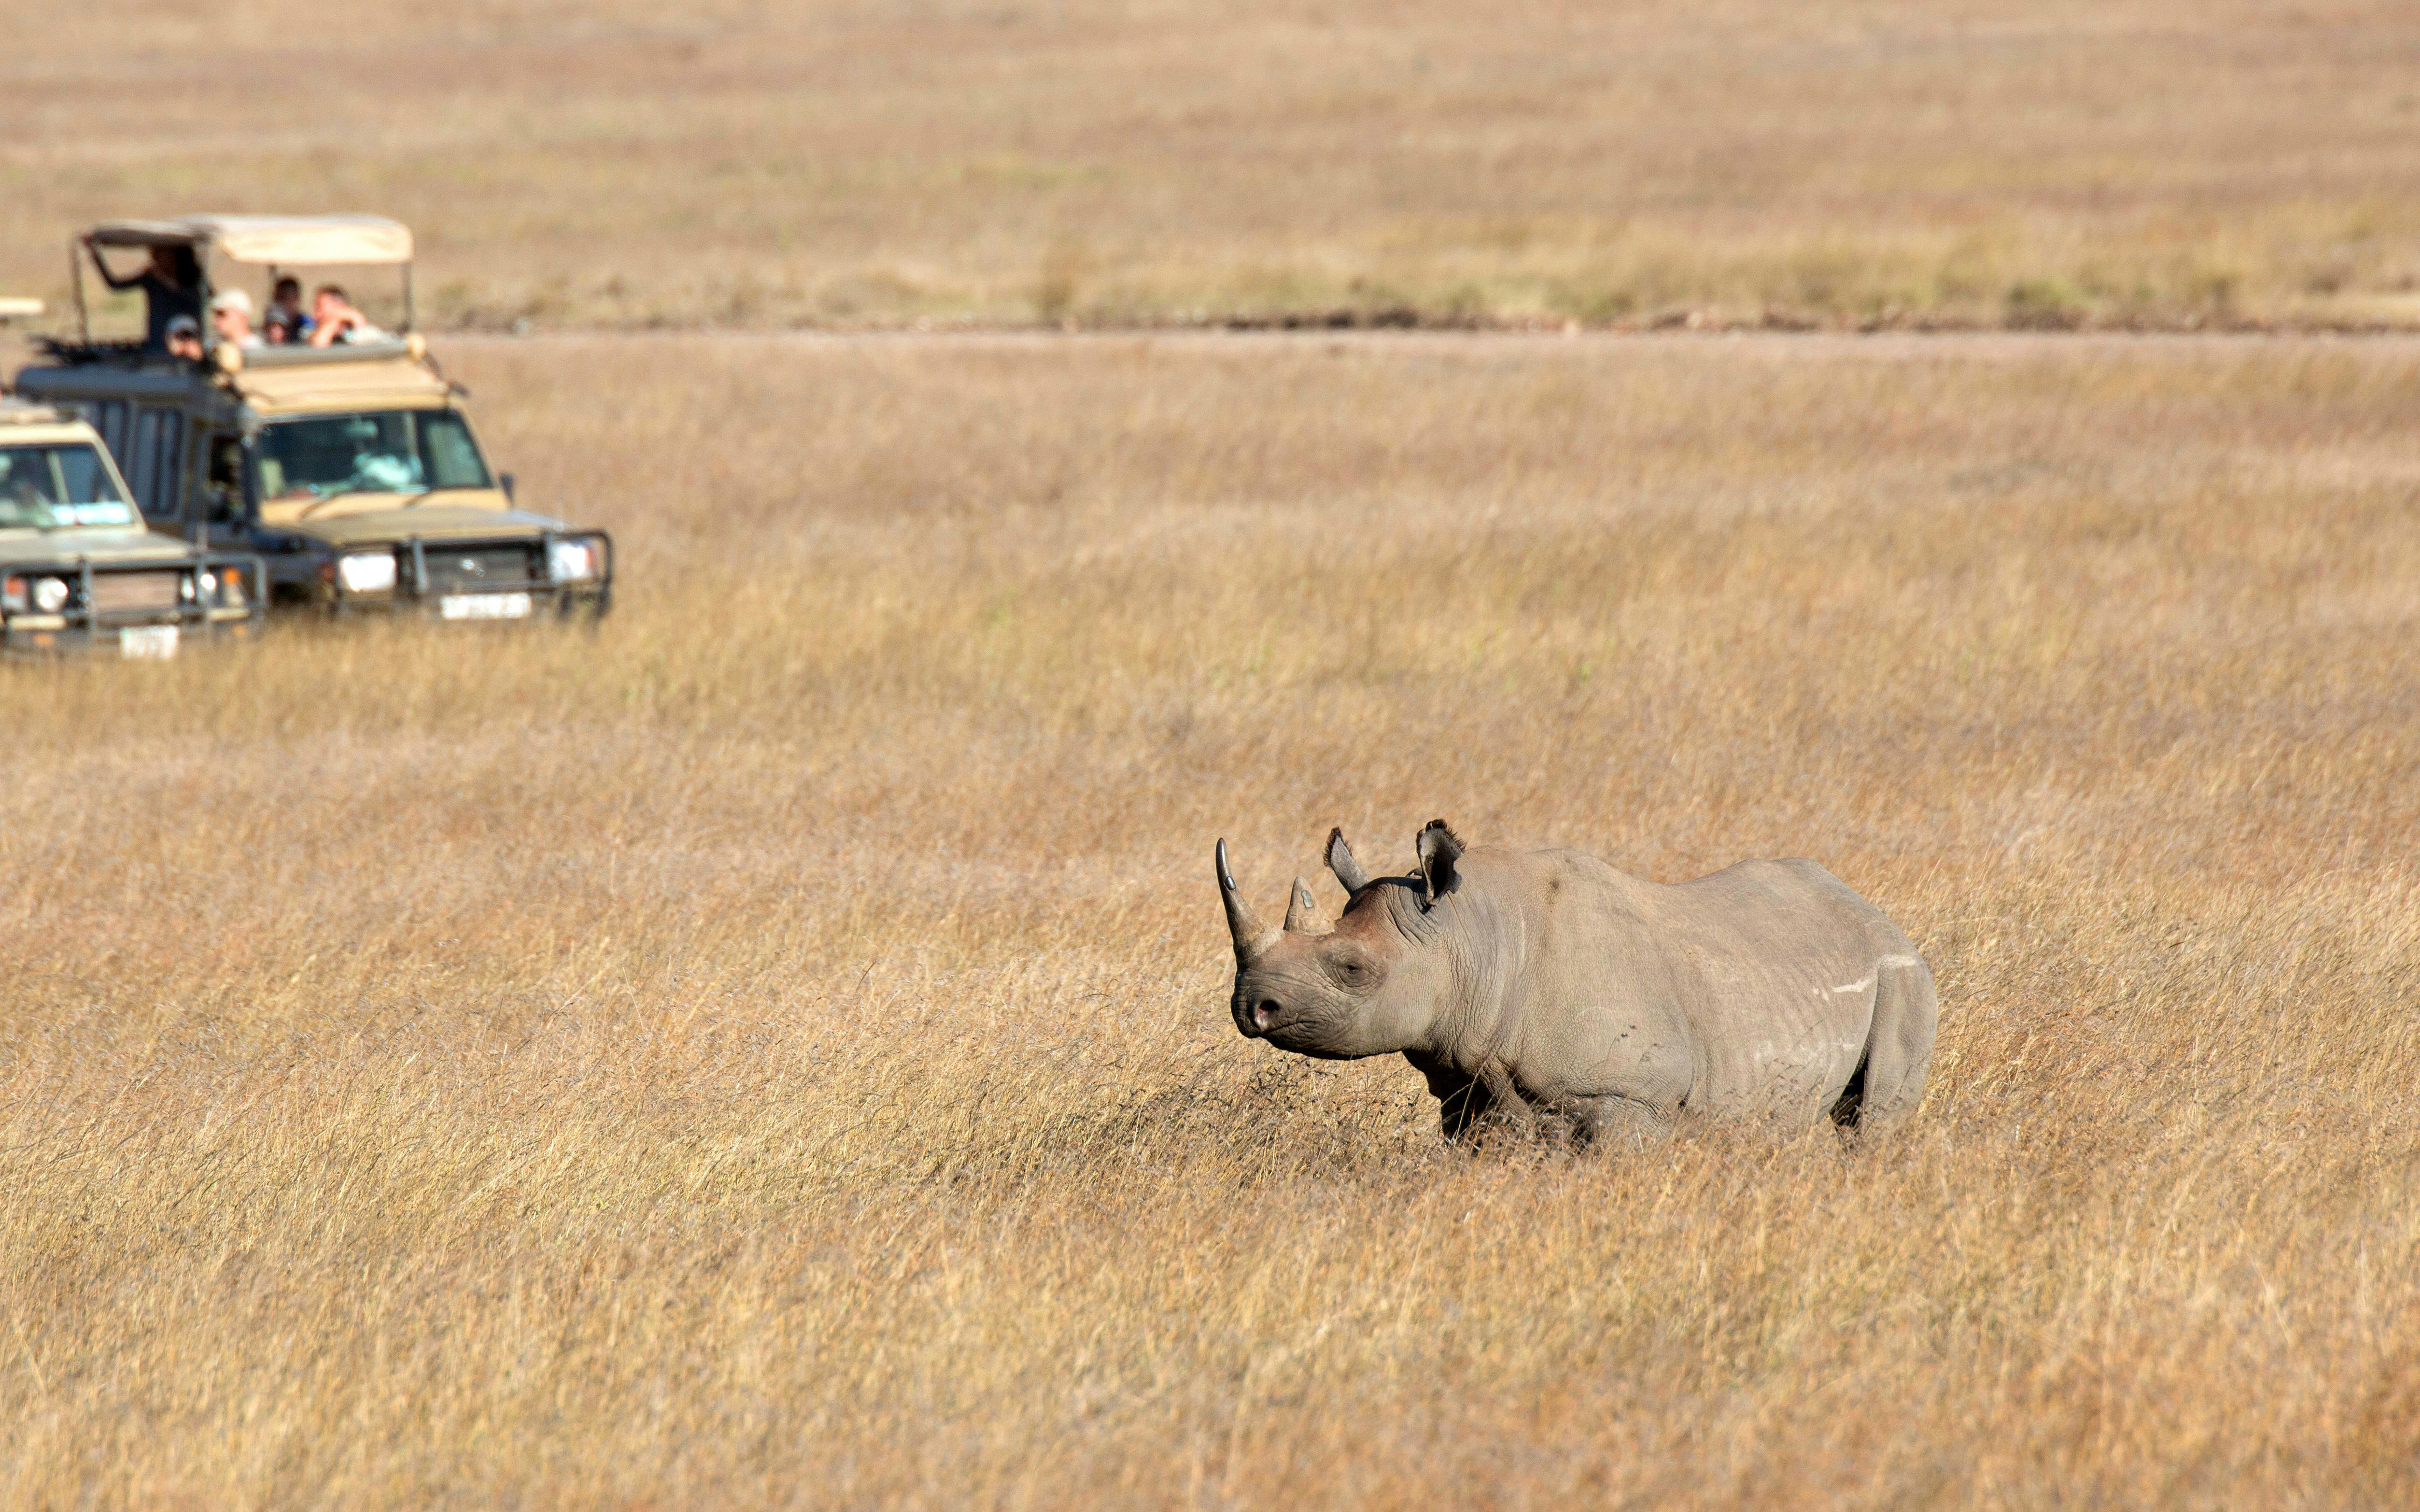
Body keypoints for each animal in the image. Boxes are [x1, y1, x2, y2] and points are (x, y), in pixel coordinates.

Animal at [1216, 822, 1936, 1144]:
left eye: (1352, 970)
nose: (1251, 1007)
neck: (1471, 938)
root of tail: (1878, 914)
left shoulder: (1631, 1095)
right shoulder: (1469, 1087)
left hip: (1904, 974)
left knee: (1871, 1124)